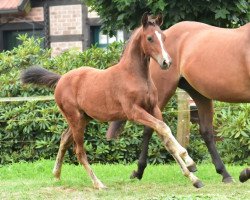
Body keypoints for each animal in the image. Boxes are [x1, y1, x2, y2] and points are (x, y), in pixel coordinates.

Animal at [21, 14, 203, 188]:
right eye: (150, 38)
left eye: (163, 37)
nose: (166, 62)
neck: (134, 75)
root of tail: (61, 79)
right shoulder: (134, 112)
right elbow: (164, 128)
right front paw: (188, 159)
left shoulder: (154, 109)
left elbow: (166, 137)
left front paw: (193, 178)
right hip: (76, 119)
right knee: (79, 151)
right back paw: (98, 183)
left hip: (83, 118)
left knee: (64, 139)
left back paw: (57, 174)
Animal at [107, 21, 250, 184]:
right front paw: (245, 173)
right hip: (161, 94)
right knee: (152, 128)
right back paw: (139, 171)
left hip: (199, 94)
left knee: (206, 132)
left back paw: (223, 173)